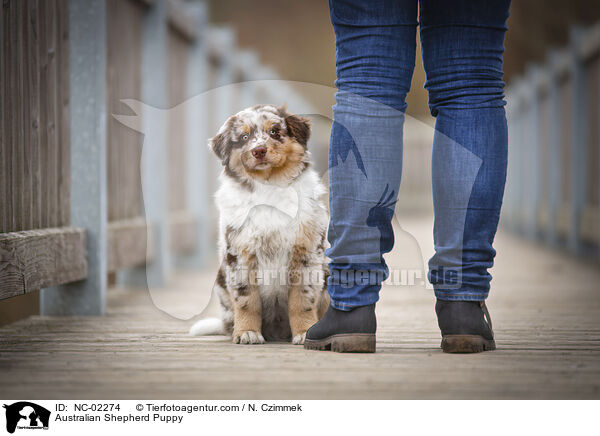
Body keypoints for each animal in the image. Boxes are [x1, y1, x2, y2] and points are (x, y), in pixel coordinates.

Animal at [189, 104, 328, 344]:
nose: (259, 151)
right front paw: (247, 332)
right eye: (244, 138)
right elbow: (247, 300)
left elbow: (302, 300)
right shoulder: (240, 254)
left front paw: (304, 332)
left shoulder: (307, 254)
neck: (269, 186)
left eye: (274, 131)